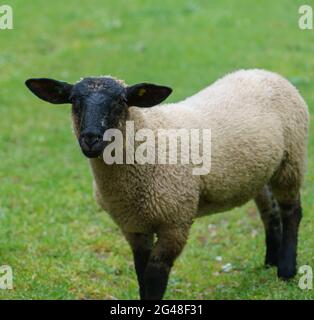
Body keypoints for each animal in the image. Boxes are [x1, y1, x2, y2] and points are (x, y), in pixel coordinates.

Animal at [25, 69, 310, 300]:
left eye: (121, 101)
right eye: (74, 101)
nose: (91, 138)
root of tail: (267, 73)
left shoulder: (175, 222)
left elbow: (155, 276)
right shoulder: (133, 225)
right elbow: (141, 273)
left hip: (291, 160)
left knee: (292, 211)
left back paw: (286, 270)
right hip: (261, 171)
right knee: (269, 212)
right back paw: (270, 261)